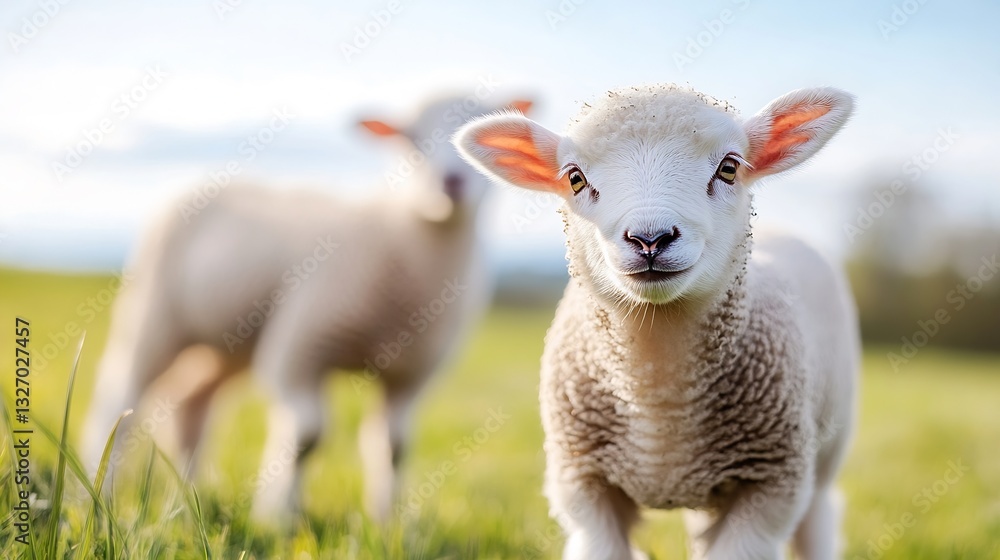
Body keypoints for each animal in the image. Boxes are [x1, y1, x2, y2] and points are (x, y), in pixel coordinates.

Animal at [80, 93, 534, 523]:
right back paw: (97, 490)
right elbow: (306, 436)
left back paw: (188, 495)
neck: (400, 235)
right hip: (155, 314)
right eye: (411, 139)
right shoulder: (299, 346)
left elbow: (394, 446)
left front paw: (386, 522)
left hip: (227, 342)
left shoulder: (411, 372)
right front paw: (277, 516)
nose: (451, 182)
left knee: (190, 402)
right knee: (120, 399)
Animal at [454, 85, 859, 560]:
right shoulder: (583, 484)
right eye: (574, 178)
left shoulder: (772, 485)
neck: (659, 397)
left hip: (823, 457)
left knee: (818, 520)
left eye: (729, 168)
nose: (650, 239)